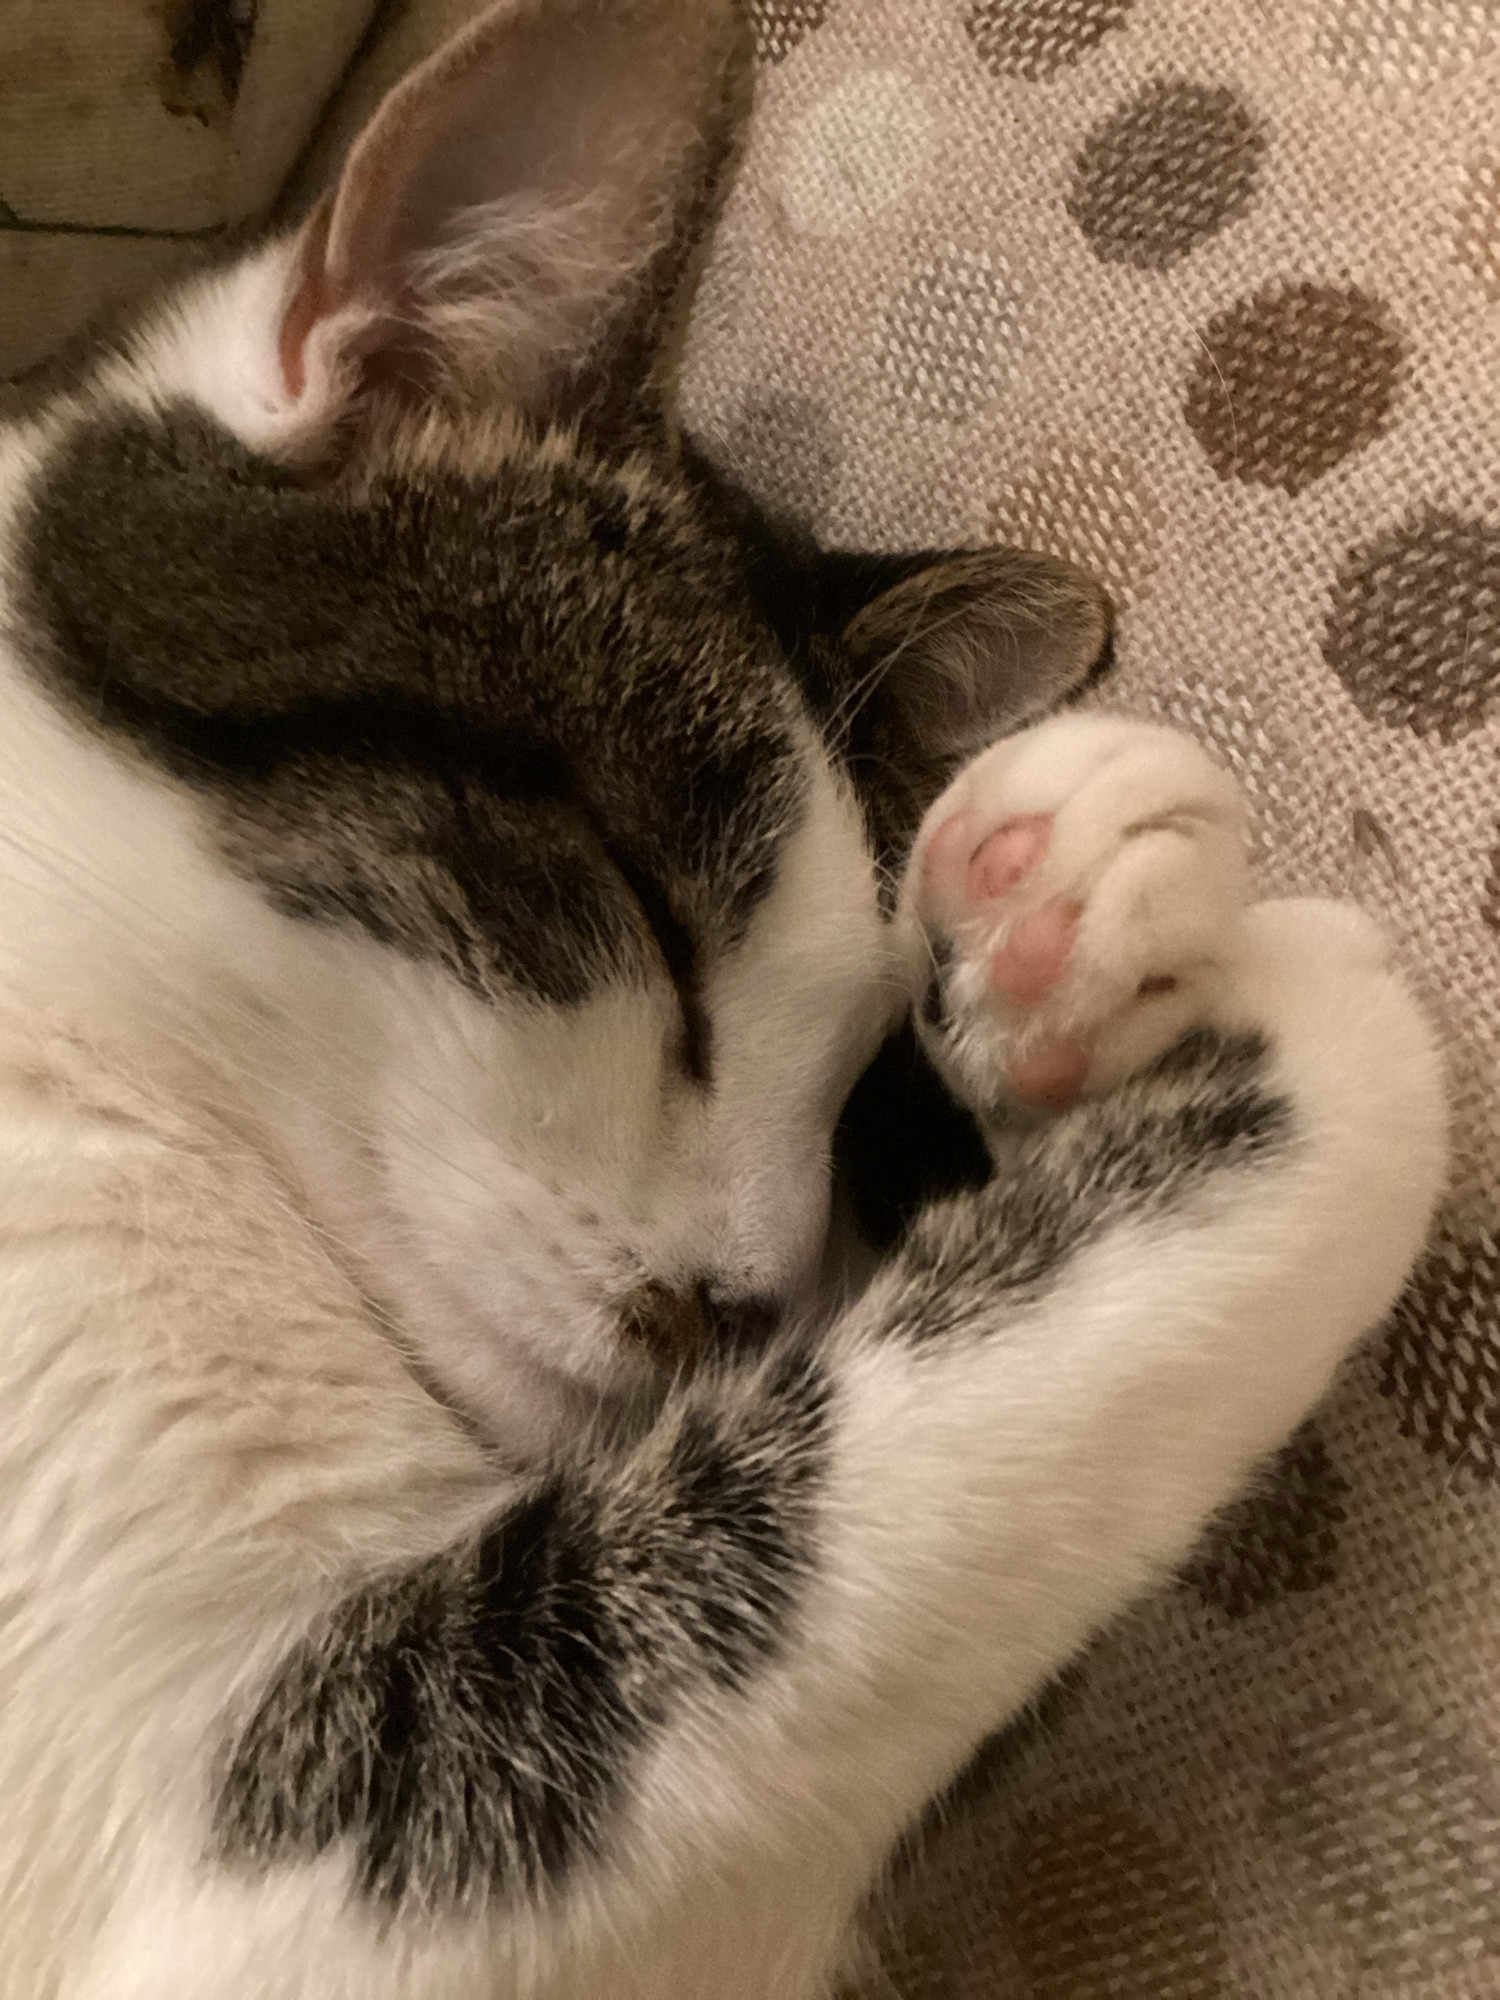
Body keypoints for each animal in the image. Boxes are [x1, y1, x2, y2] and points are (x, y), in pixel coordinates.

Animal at [0, 3, 1448, 2000]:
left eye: (845, 1097)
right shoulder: (253, 1884)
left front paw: (1047, 943)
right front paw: (1299, 1036)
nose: (749, 1301)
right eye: (648, 917)